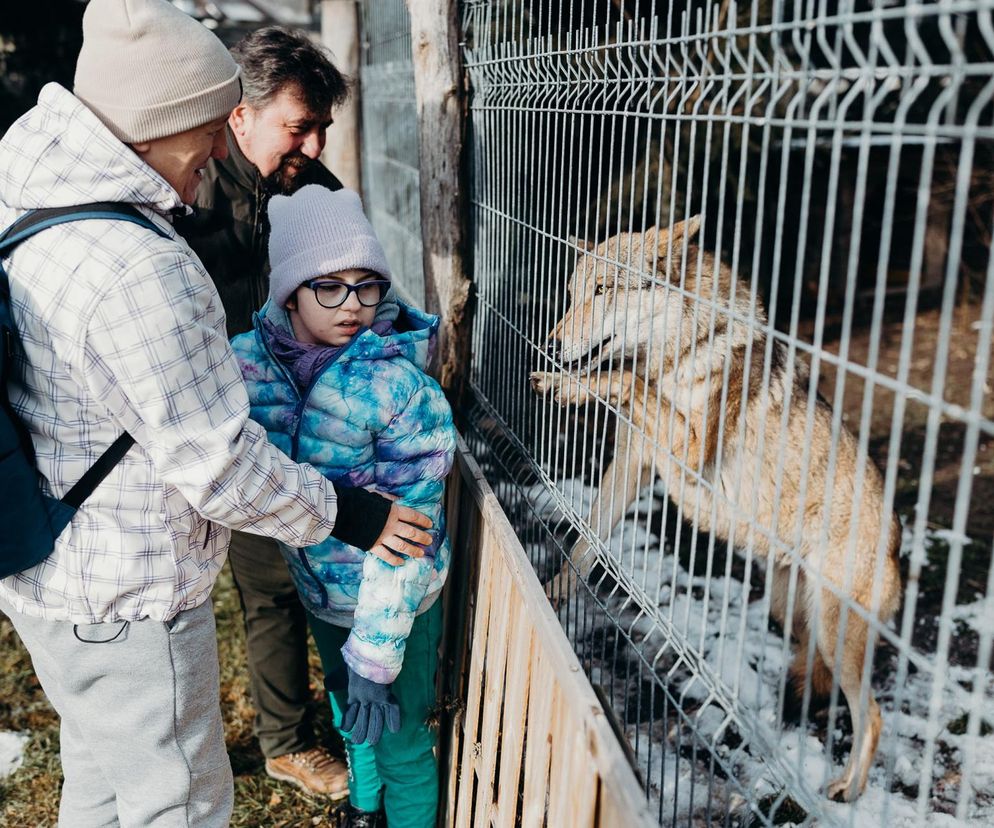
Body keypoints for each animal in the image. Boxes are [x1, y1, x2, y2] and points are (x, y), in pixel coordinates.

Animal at [532, 215, 904, 804]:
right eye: (572, 295)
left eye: (604, 290)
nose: (552, 342)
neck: (683, 348)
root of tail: (898, 537)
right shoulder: (635, 461)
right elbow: (585, 541)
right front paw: (553, 593)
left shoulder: (683, 451)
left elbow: (623, 379)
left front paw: (570, 384)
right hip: (791, 613)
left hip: (834, 632)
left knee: (874, 715)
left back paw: (847, 789)